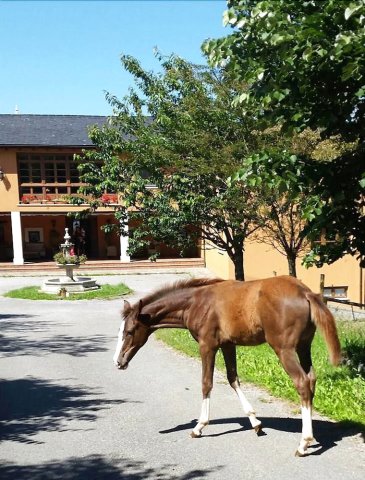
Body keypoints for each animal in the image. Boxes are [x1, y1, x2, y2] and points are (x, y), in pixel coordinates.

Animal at [114, 276, 342, 456]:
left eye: (130, 331)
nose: (118, 362)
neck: (196, 303)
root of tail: (305, 292)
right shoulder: (228, 344)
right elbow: (233, 379)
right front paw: (256, 423)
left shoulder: (207, 345)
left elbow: (206, 383)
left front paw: (199, 427)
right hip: (304, 347)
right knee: (311, 379)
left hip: (284, 349)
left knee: (302, 382)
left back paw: (304, 444)